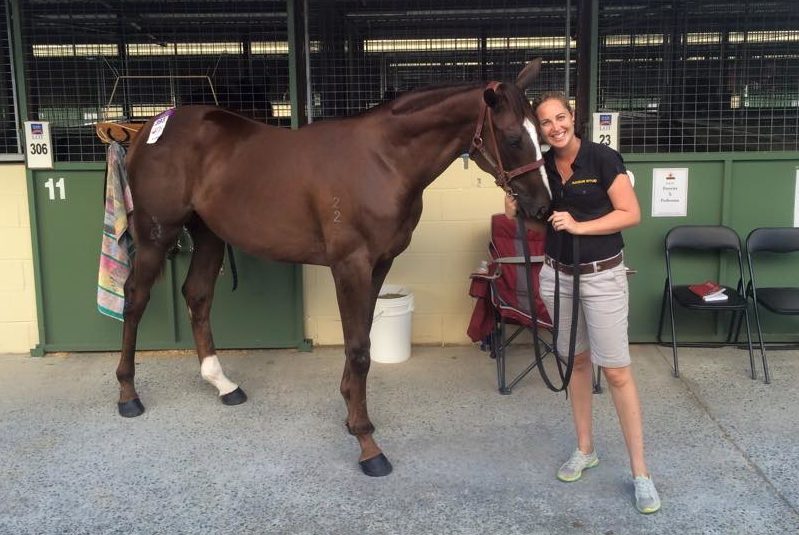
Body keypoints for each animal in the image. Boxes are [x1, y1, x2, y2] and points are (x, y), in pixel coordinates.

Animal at [116, 58, 552, 477]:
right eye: (513, 139)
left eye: (542, 136)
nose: (542, 208)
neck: (383, 160)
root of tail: (148, 129)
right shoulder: (350, 265)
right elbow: (358, 348)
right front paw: (367, 444)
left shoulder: (379, 264)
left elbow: (362, 338)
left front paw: (350, 413)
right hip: (156, 235)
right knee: (135, 299)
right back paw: (128, 395)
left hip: (207, 234)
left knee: (198, 295)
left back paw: (223, 384)